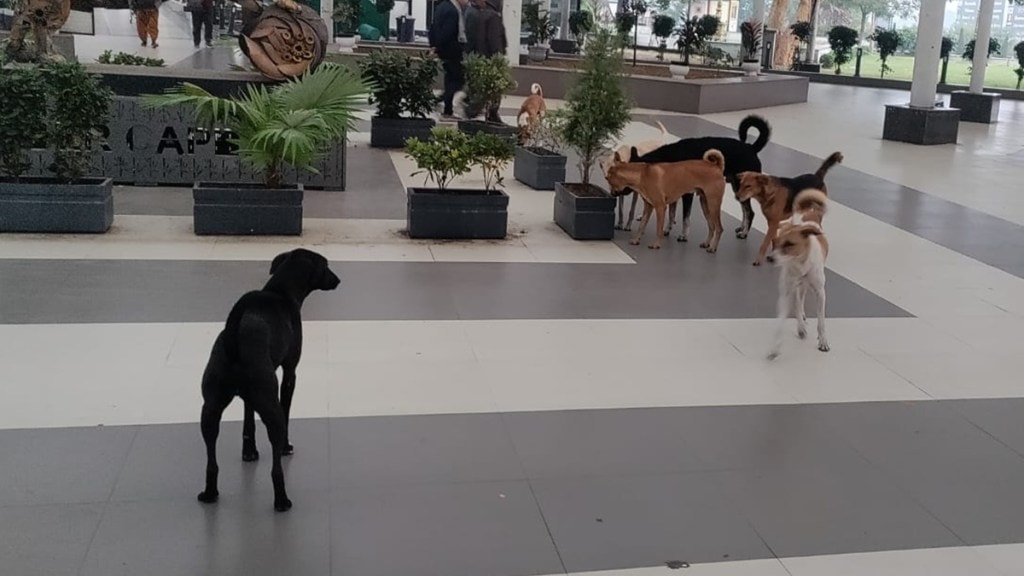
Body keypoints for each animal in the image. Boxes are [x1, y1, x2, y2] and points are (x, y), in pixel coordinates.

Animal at [197, 247, 342, 510]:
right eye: (326, 265)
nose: (338, 280)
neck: (280, 291)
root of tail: (234, 337)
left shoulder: (249, 397)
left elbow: (248, 420)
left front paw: (249, 451)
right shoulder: (289, 372)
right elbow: (287, 408)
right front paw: (285, 446)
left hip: (210, 408)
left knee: (211, 458)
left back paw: (210, 492)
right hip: (270, 406)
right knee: (276, 466)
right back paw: (282, 499)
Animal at [630, 114, 770, 241]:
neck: (669, 157)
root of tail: (751, 147)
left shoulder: (687, 194)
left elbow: (685, 218)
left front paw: (683, 235)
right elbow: (671, 213)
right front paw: (667, 229)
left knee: (750, 212)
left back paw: (744, 233)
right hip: (738, 188)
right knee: (745, 210)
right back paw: (741, 227)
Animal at [765, 188, 827, 358]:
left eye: (789, 244)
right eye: (774, 242)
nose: (769, 258)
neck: (800, 265)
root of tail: (806, 211)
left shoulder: (820, 293)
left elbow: (821, 320)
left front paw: (823, 341)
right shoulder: (786, 293)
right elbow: (781, 323)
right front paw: (775, 347)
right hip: (796, 286)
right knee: (799, 302)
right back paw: (800, 326)